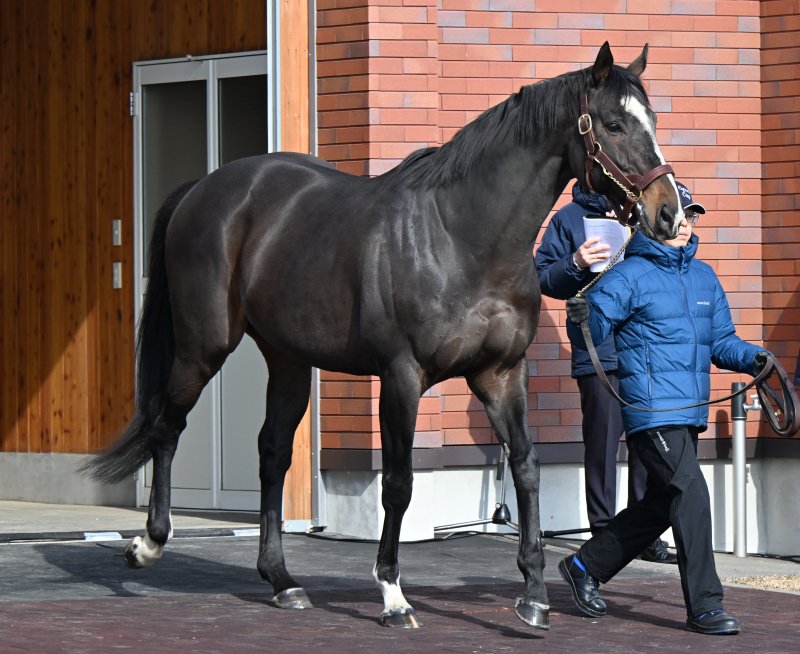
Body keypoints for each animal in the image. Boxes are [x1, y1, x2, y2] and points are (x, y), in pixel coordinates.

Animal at [86, 42, 683, 631]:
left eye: (653, 120)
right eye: (613, 124)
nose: (669, 212)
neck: (462, 237)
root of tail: (205, 189)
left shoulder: (501, 375)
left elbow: (528, 470)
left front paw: (534, 595)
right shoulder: (401, 377)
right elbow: (399, 483)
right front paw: (394, 595)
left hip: (287, 361)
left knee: (272, 454)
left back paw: (281, 581)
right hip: (202, 346)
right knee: (167, 426)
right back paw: (147, 545)